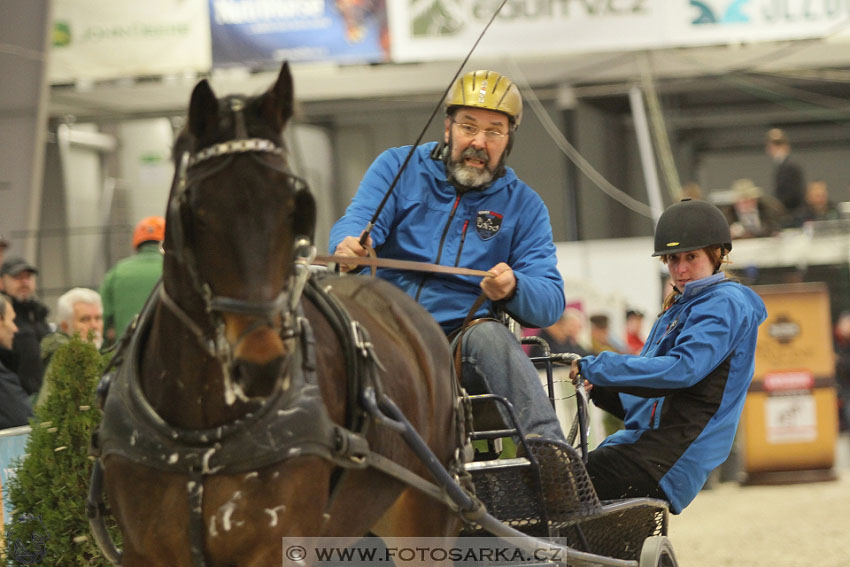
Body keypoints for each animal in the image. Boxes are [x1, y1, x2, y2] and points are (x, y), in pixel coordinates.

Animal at [92, 60, 460, 564]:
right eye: (198, 211)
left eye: (294, 208)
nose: (261, 364)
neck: (201, 437)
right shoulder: (143, 550)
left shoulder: (277, 543)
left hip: (424, 513)